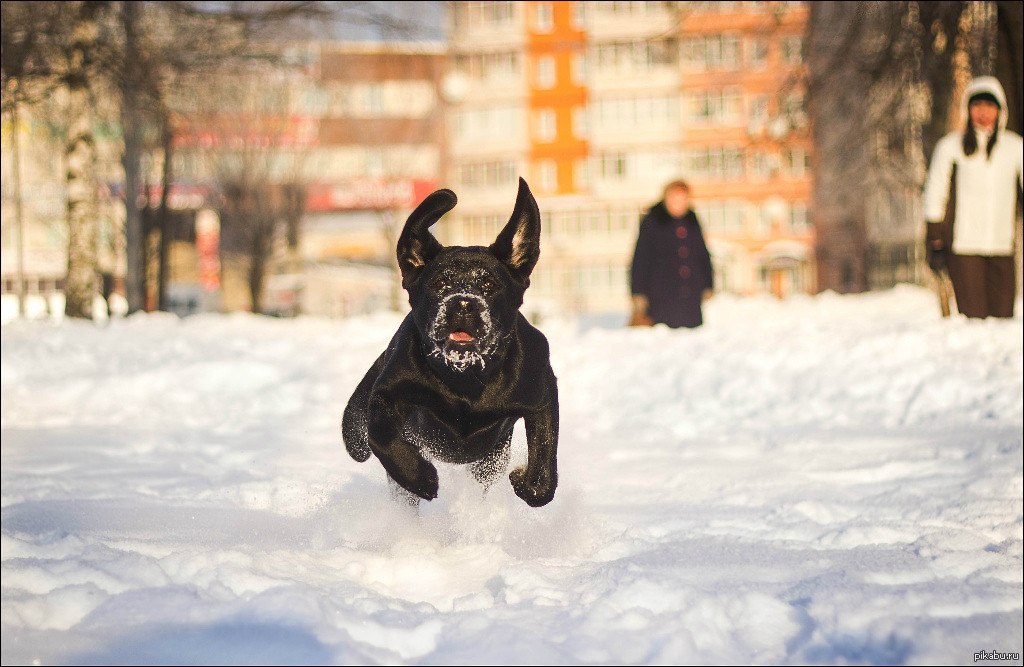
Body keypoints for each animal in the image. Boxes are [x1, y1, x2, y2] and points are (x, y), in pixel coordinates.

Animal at [342, 177, 561, 506]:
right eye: (439, 283)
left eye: (489, 283)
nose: (463, 304)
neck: (466, 379)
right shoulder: (387, 394)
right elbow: (381, 436)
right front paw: (420, 477)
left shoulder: (541, 395)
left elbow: (543, 477)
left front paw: (524, 480)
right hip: (354, 420)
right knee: (359, 441)